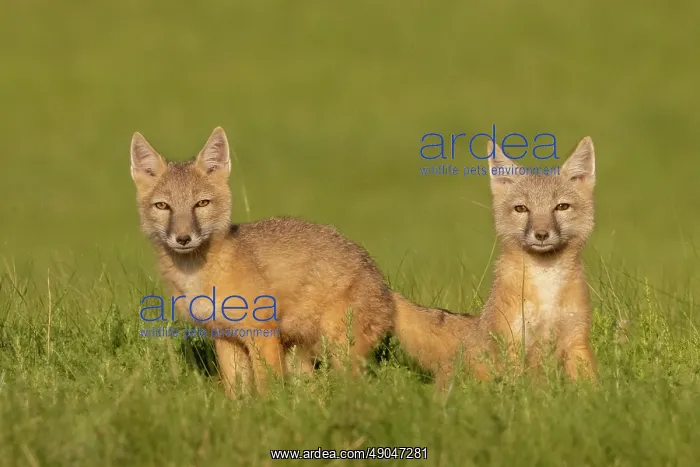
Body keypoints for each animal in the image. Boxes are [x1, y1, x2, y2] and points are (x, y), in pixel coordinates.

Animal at [394, 136, 598, 384]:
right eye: (521, 209)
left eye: (562, 207)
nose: (541, 234)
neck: (546, 287)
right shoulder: (513, 342)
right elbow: (520, 386)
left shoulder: (577, 339)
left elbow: (591, 385)